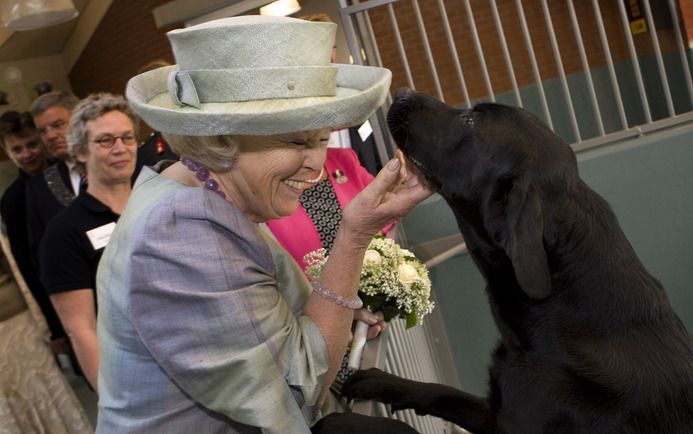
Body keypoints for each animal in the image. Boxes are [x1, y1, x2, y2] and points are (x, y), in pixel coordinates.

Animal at [314, 89, 692, 434]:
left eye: (469, 121)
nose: (403, 92)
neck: (559, 301)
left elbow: (404, 429)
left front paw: (345, 422)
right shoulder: (495, 409)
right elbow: (441, 392)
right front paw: (377, 381)